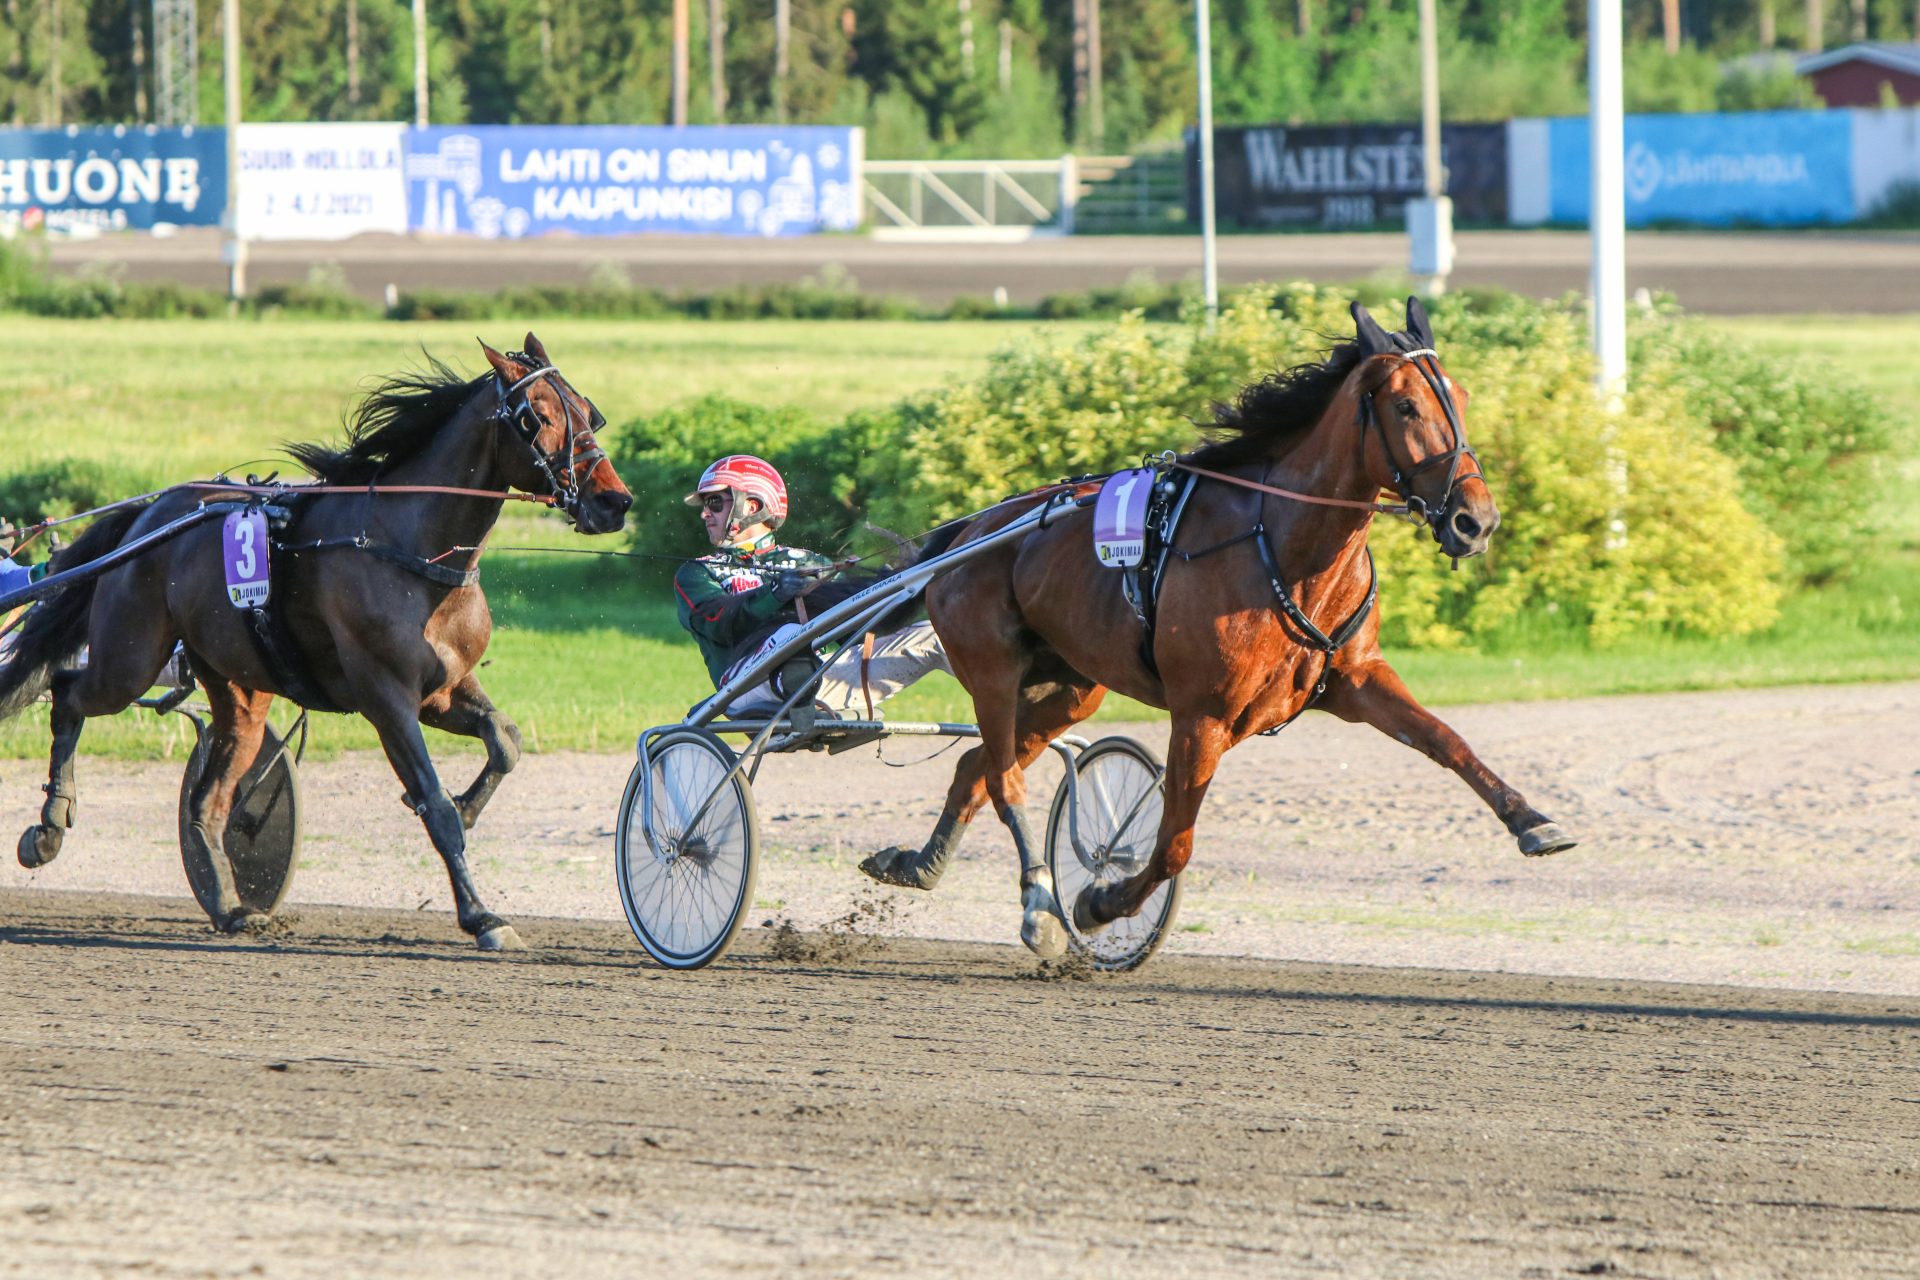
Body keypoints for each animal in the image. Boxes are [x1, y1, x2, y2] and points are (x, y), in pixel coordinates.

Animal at [0, 335, 629, 955]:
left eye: (587, 409)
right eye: (537, 416)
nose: (614, 502)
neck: (411, 551)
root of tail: (146, 515)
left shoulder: (444, 689)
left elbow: (505, 740)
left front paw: (470, 807)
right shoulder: (385, 699)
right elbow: (435, 803)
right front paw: (481, 915)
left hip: (239, 688)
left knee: (208, 800)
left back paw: (230, 906)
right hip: (129, 655)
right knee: (68, 691)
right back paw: (48, 830)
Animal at [867, 301, 1574, 955]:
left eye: (1461, 397)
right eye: (1405, 407)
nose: (1475, 521)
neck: (1282, 545)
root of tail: (973, 530)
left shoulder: (1355, 679)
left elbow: (1446, 740)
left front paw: (1533, 820)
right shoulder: (1202, 714)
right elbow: (1173, 844)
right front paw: (1099, 902)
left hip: (1064, 689)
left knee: (975, 767)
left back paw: (919, 864)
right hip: (992, 669)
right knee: (1003, 777)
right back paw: (1041, 906)